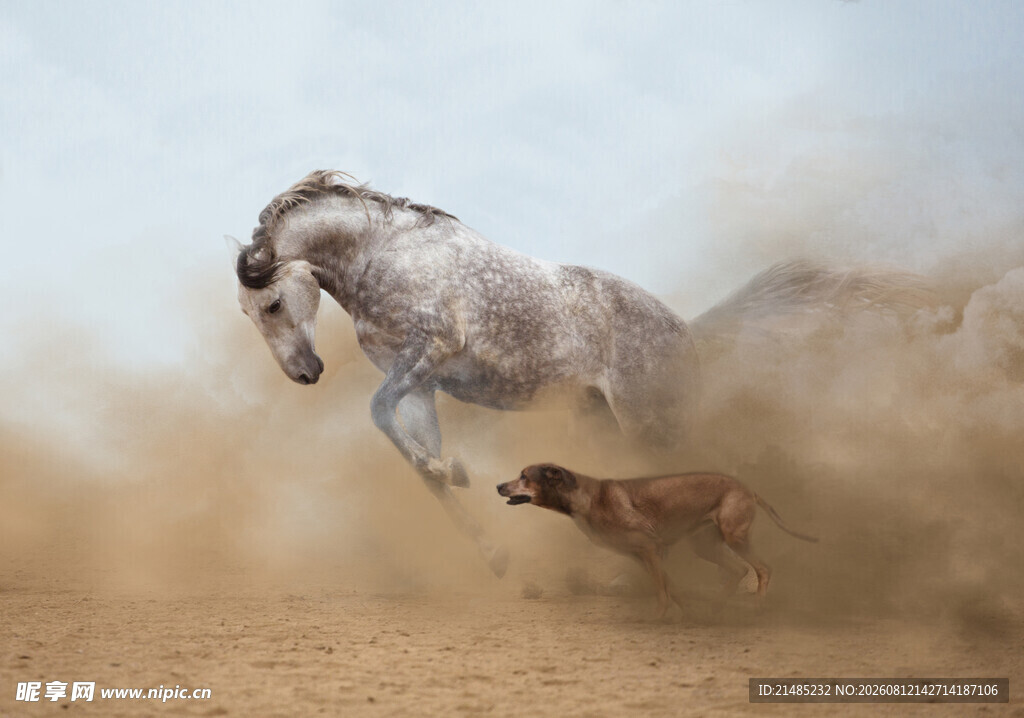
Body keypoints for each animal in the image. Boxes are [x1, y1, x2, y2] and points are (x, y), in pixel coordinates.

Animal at [228, 170, 928, 576]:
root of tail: (687, 333)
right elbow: (419, 464)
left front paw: (454, 472)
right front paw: (492, 547)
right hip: (602, 420)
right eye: (249, 313)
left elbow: (379, 414)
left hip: (652, 423)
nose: (304, 373)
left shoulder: (427, 352)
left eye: (272, 304)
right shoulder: (421, 385)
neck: (383, 255)